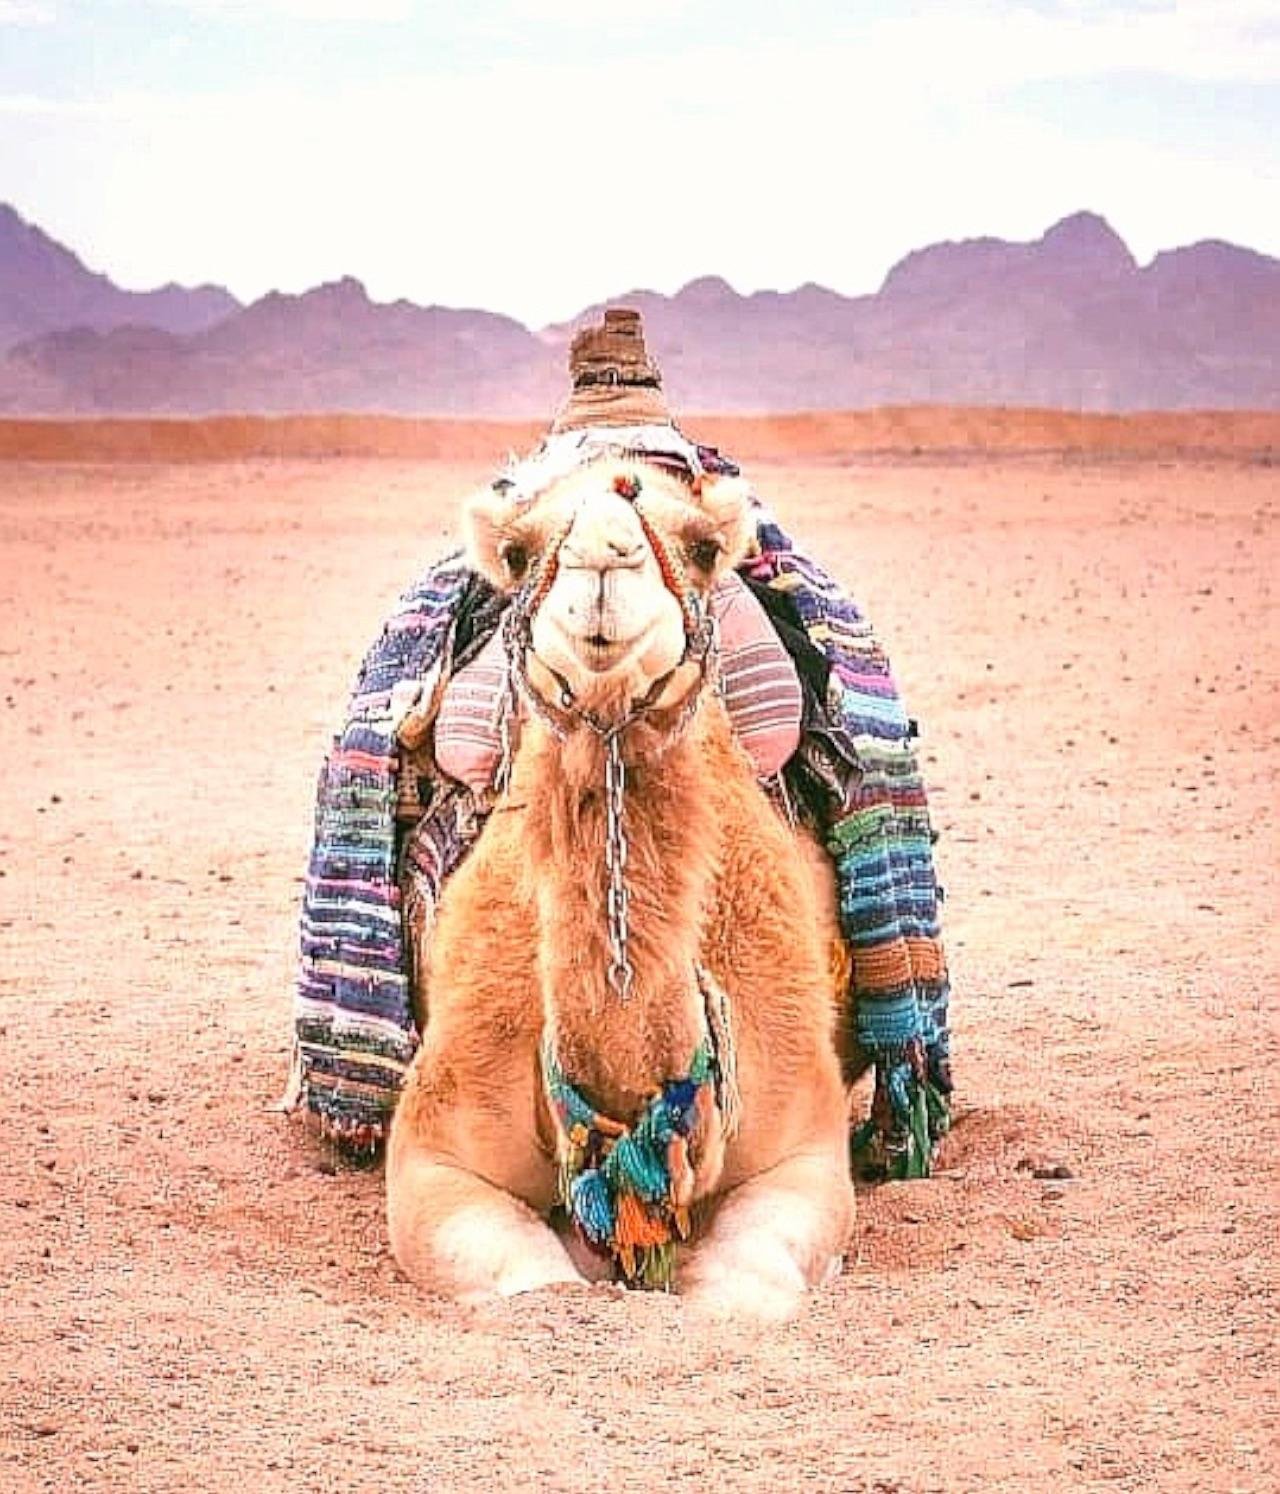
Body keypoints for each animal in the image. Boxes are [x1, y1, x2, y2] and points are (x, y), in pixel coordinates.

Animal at [385, 454, 855, 1319]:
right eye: (518, 553)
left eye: (702, 546)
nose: (606, 555)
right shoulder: (433, 1155)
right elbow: (537, 1285)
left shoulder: (806, 1144)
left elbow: (743, 1286)